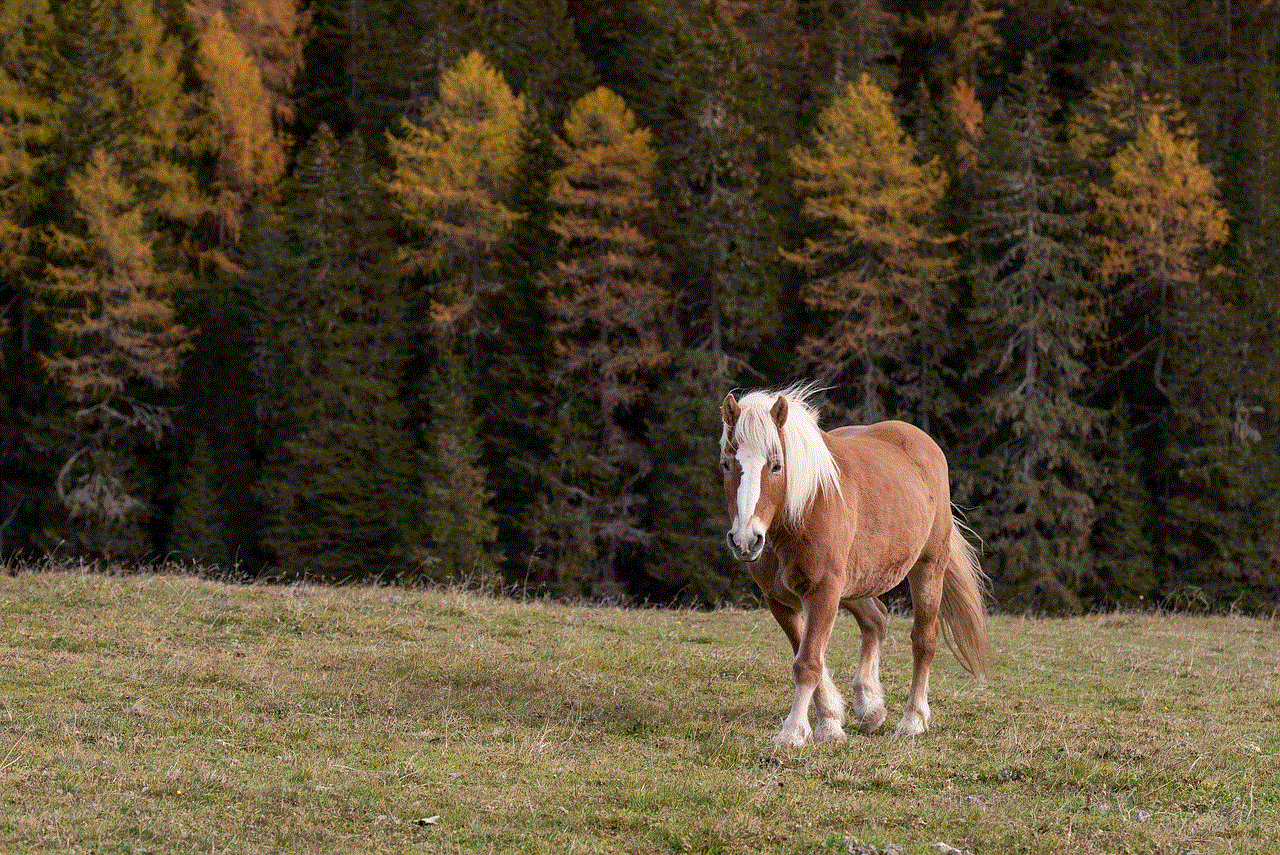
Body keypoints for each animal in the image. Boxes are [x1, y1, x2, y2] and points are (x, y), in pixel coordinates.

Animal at [721, 383, 988, 742]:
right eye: (726, 464)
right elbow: (809, 657)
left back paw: (913, 719)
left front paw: (793, 731)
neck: (804, 508)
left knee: (923, 640)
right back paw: (870, 706)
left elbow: (808, 662)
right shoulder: (780, 599)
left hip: (928, 567)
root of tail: (923, 443)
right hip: (856, 583)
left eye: (776, 466)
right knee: (876, 621)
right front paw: (830, 722)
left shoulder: (824, 591)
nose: (745, 540)